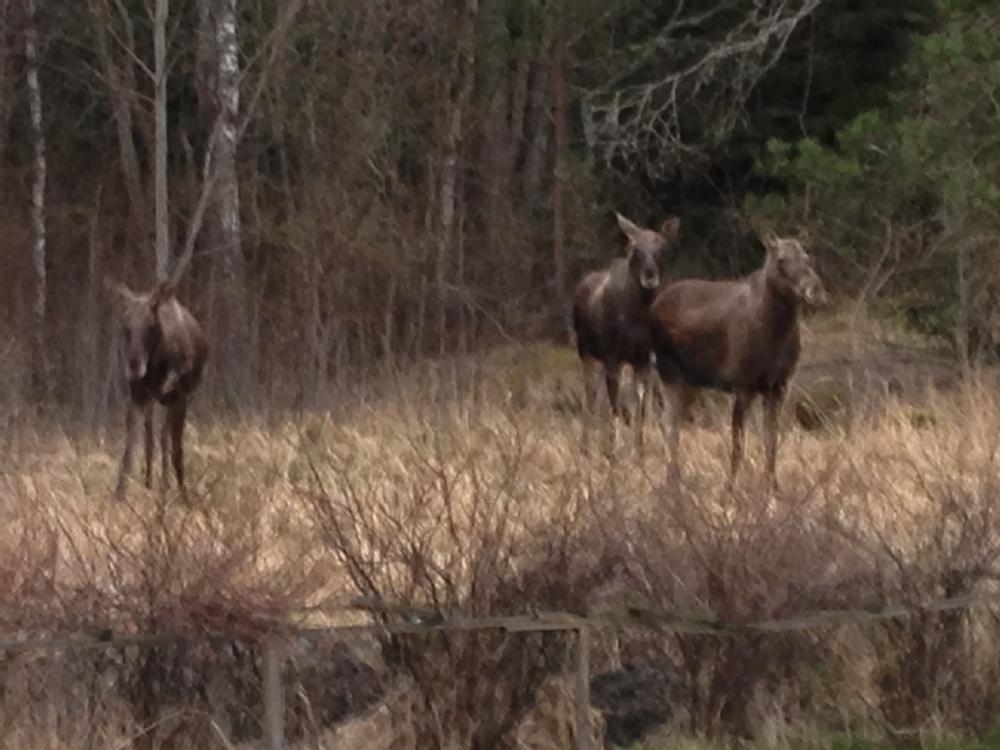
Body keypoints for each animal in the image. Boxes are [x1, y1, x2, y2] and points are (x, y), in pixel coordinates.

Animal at [108, 280, 208, 502]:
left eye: (151, 326)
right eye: (126, 327)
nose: (134, 365)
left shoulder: (178, 396)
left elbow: (174, 448)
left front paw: (178, 494)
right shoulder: (138, 397)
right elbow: (132, 447)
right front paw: (119, 495)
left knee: (166, 439)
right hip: (152, 401)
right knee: (151, 439)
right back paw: (149, 482)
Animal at [576, 212, 684, 446]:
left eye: (662, 246)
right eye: (635, 248)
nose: (650, 274)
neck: (637, 316)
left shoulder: (643, 359)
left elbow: (640, 410)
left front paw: (639, 448)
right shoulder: (612, 355)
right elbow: (616, 408)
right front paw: (613, 449)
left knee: (601, 401)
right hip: (586, 352)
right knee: (590, 398)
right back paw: (586, 446)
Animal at [648, 232, 828, 484]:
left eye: (806, 257)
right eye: (781, 260)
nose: (816, 291)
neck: (777, 333)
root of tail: (654, 304)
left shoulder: (778, 385)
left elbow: (771, 440)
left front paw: (772, 485)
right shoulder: (743, 384)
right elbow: (738, 442)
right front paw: (731, 486)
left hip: (691, 381)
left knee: (675, 420)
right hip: (668, 371)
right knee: (669, 422)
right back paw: (672, 480)